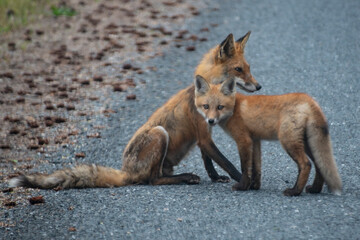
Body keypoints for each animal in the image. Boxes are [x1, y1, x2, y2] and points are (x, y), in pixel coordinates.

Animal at [7, 32, 258, 189]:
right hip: (159, 134)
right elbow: (226, 161)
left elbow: (209, 161)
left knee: (156, 177)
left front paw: (216, 178)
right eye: (238, 70)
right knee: (152, 180)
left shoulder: (205, 132)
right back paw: (186, 177)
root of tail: (126, 171)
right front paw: (243, 180)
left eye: (248, 68)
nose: (259, 87)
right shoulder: (203, 133)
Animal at [195, 75, 342, 197]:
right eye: (206, 106)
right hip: (308, 143)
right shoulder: (255, 140)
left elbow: (245, 167)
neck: (235, 107)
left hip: (288, 141)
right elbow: (256, 167)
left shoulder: (244, 140)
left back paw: (295, 191)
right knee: (319, 165)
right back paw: (315, 189)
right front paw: (254, 186)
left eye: (220, 107)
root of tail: (311, 100)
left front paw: (242, 186)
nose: (210, 121)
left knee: (306, 164)